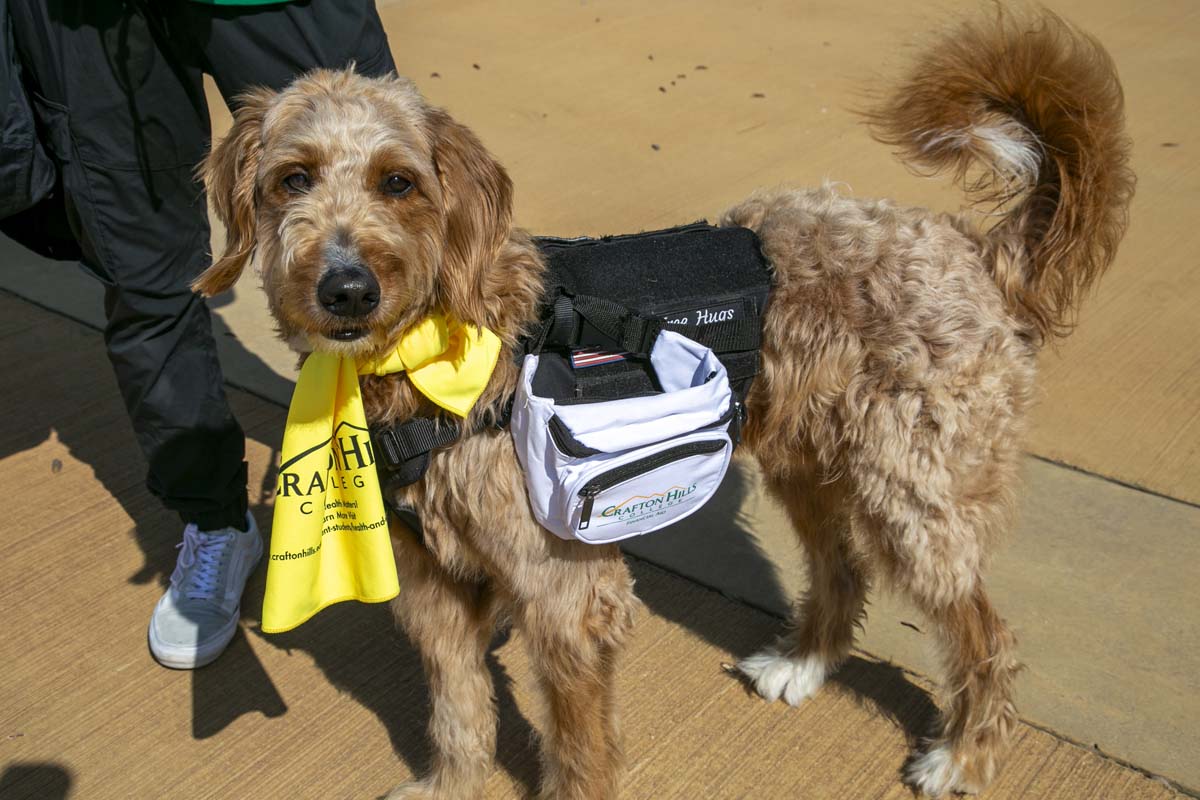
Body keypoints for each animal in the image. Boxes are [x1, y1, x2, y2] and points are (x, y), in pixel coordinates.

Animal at [192, 7, 1128, 800]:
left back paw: (962, 756)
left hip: (917, 503)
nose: (346, 288)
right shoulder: (433, 586)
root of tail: (974, 249)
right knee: (842, 570)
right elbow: (458, 715)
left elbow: (577, 753)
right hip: (808, 469)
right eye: (292, 179)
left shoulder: (566, 597)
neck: (430, 349)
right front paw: (452, 789)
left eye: (398, 182)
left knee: (989, 639)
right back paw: (803, 665)